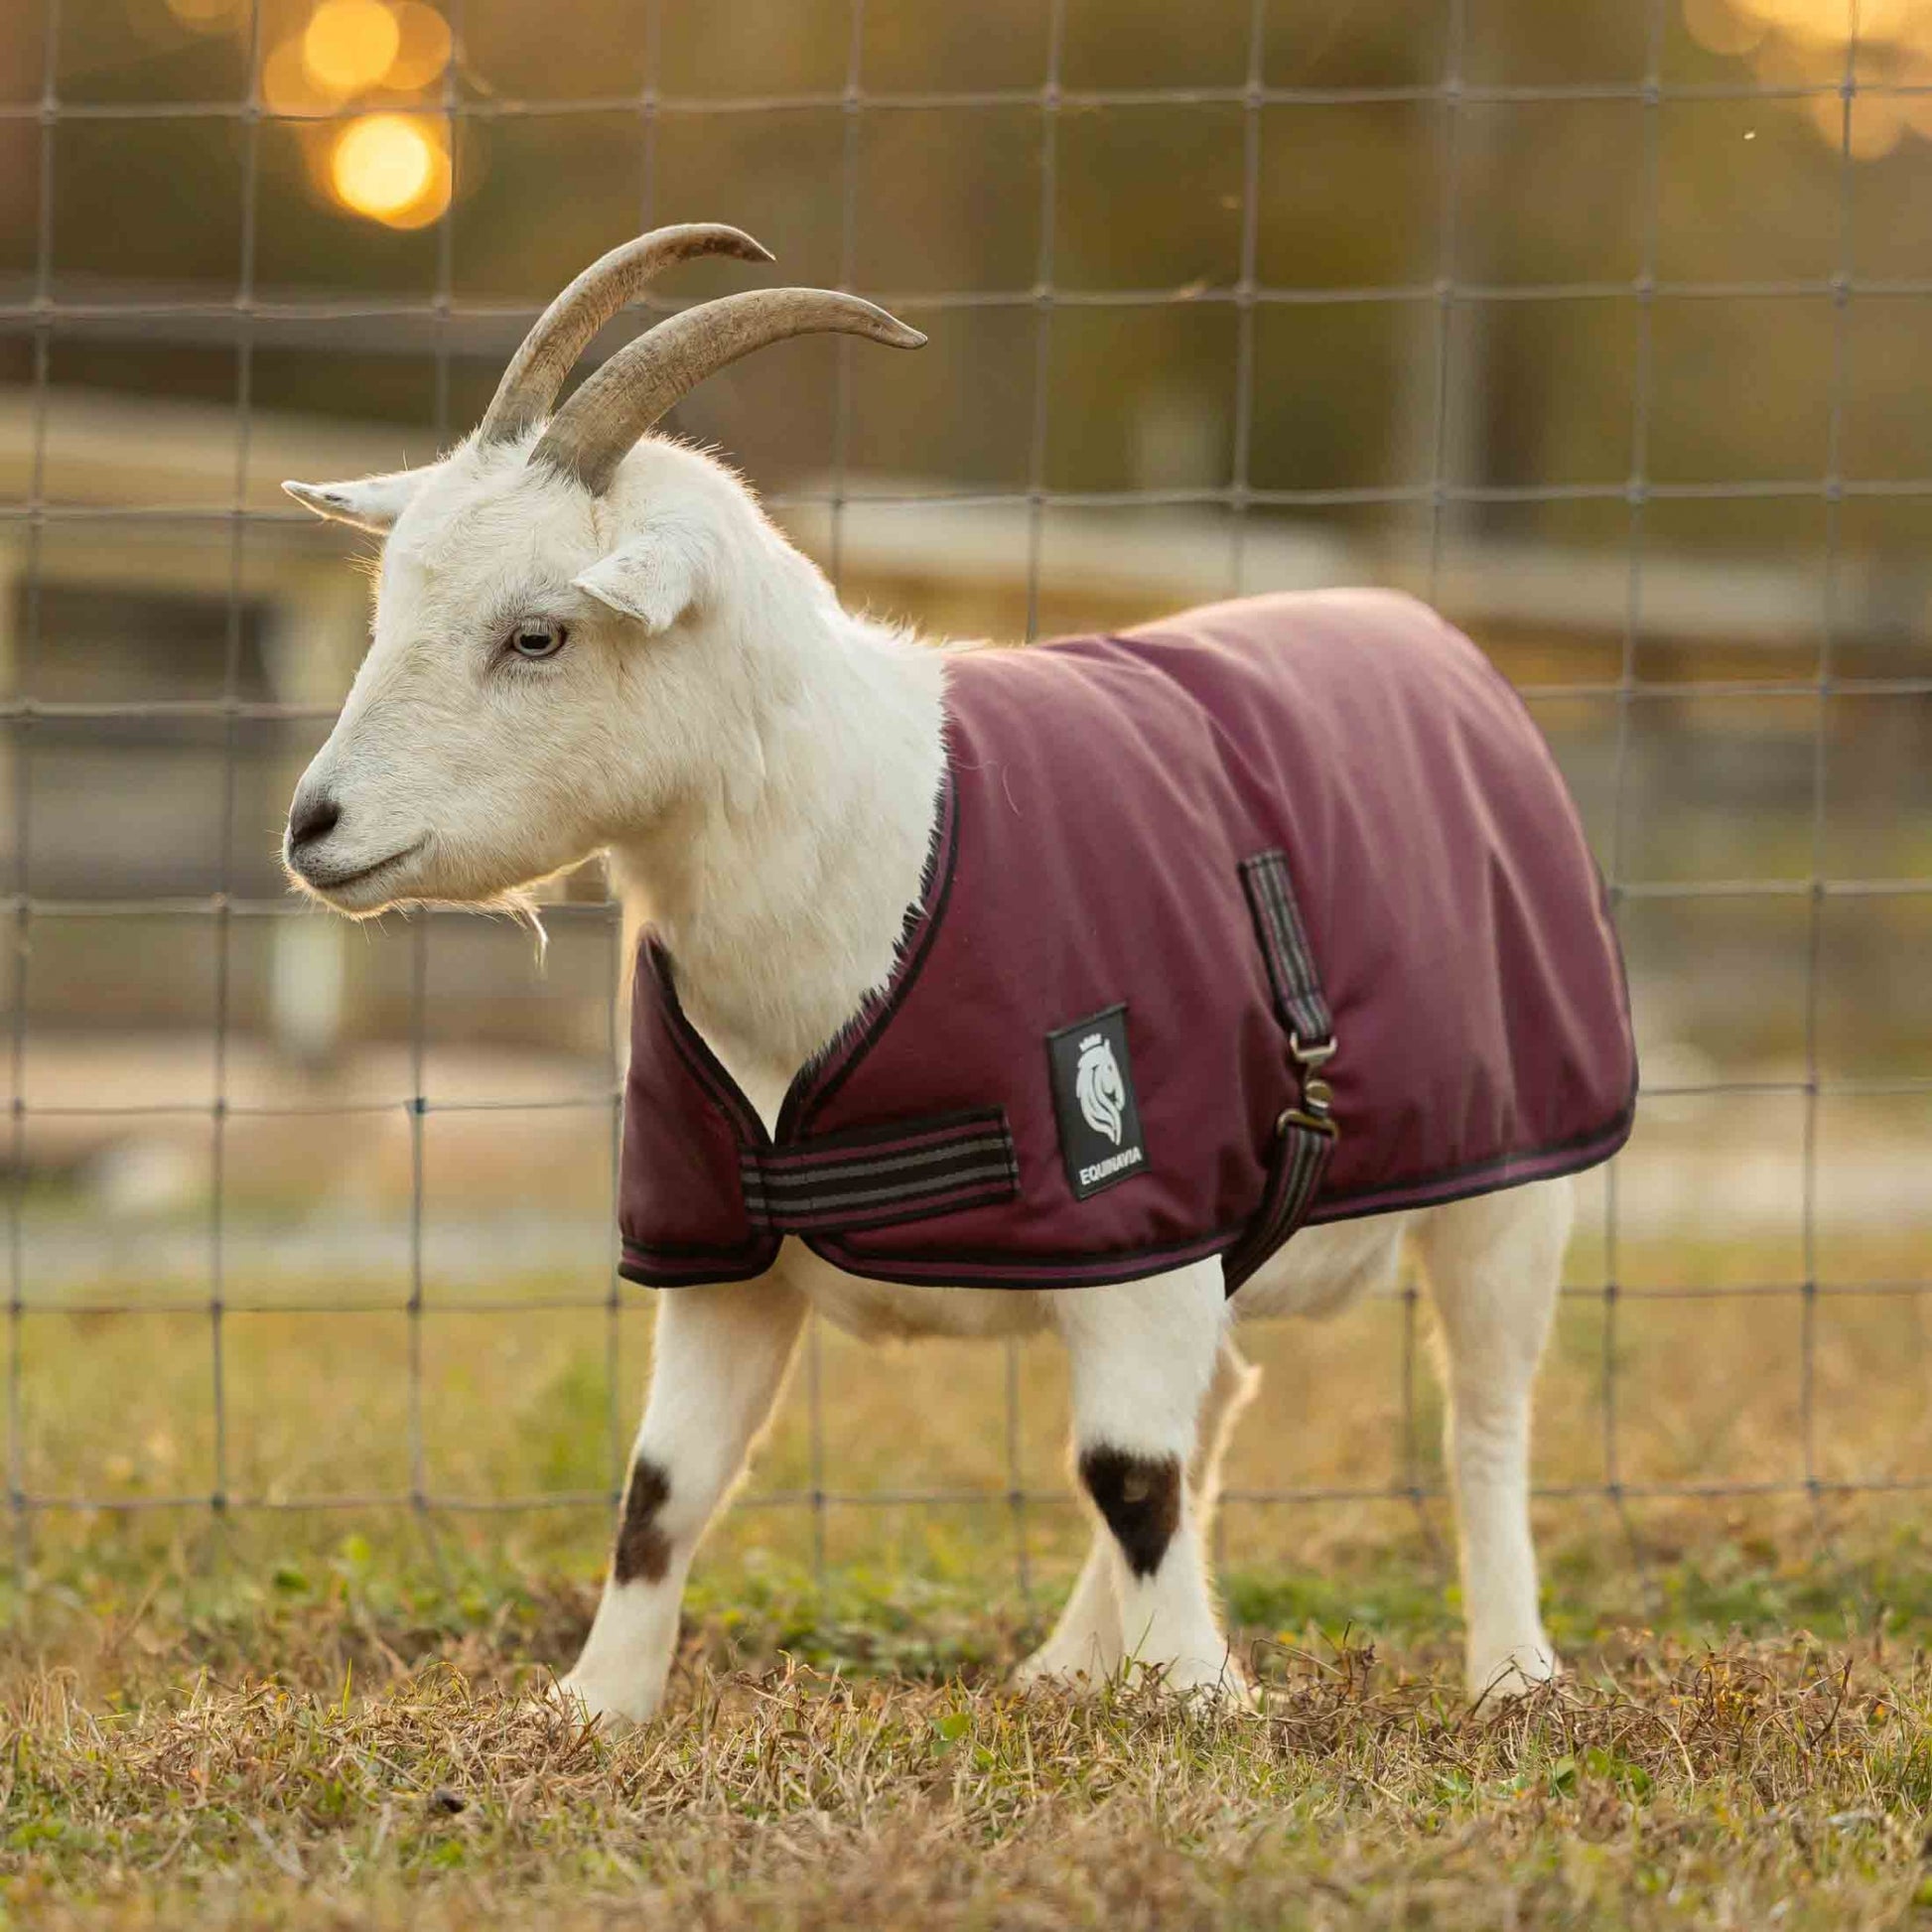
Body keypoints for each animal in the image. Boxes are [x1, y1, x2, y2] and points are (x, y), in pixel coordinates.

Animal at [282, 225, 1636, 1726]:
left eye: (537, 633)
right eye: (392, 601)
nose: (314, 827)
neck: (886, 849)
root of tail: (1437, 638)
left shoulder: (1133, 1203)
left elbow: (1126, 1474)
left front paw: (1205, 1702)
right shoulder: (726, 1251)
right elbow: (662, 1489)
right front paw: (594, 1706)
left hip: (1513, 1171)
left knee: (1478, 1416)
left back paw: (1508, 1672)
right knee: (1219, 1396)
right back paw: (1069, 1666)